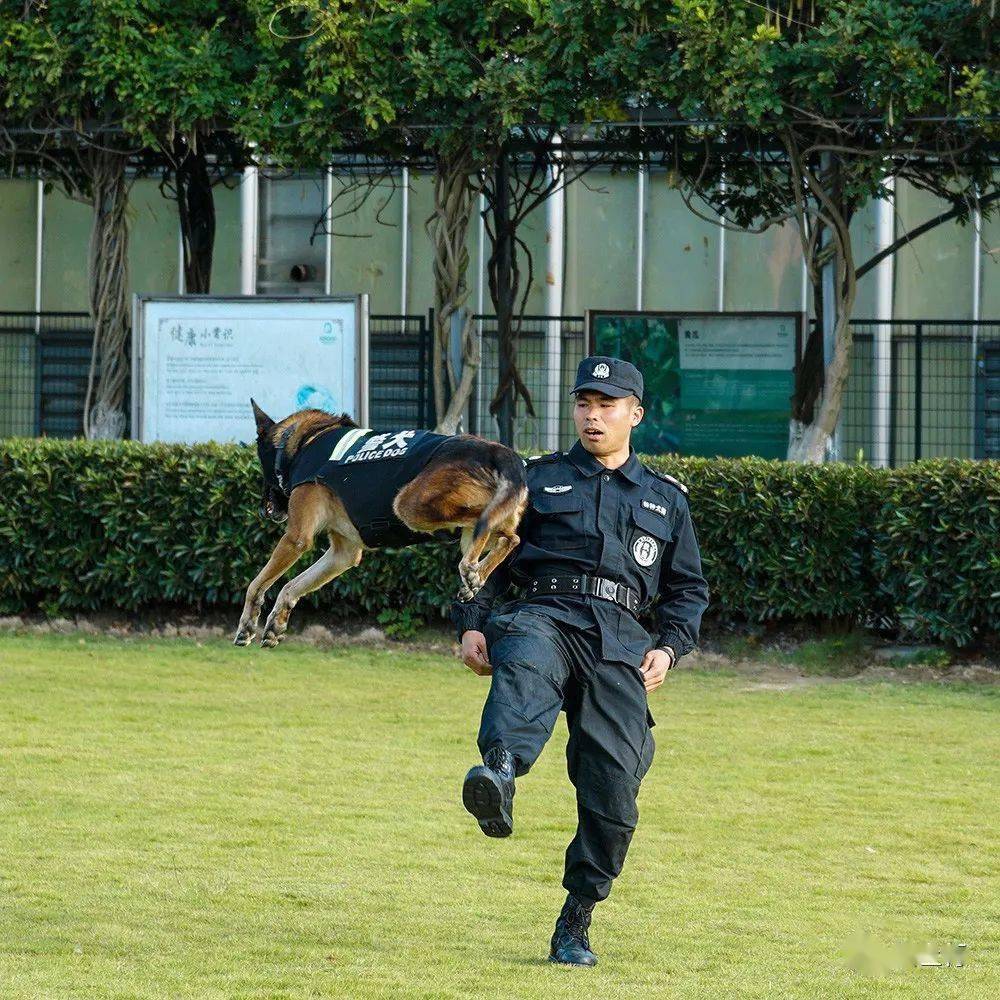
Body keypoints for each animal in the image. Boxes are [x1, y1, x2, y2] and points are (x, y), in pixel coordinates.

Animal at [237, 400, 528, 648]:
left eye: (261, 465)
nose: (262, 509)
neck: (306, 440)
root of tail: (498, 451)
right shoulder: (342, 555)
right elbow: (291, 586)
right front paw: (276, 621)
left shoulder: (295, 538)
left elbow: (256, 584)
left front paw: (248, 623)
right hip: (463, 527)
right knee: (510, 537)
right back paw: (478, 574)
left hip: (410, 506)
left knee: (487, 525)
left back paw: (471, 569)